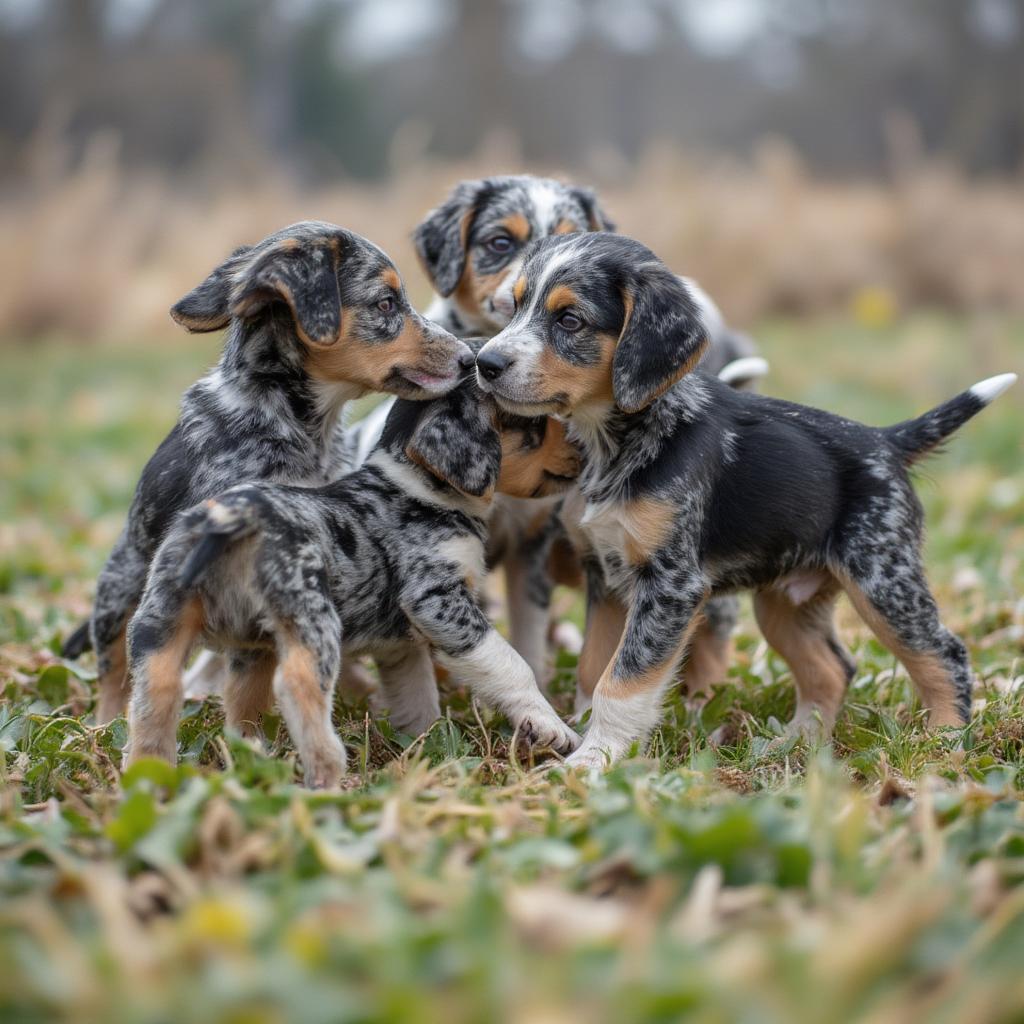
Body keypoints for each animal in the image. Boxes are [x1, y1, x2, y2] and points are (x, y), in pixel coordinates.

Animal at [66, 219, 473, 724]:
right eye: (385, 303)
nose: (469, 360)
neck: (303, 430)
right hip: (120, 589)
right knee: (114, 672)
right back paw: (105, 726)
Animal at [125, 376, 585, 782]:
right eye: (533, 424)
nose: (581, 445)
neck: (416, 487)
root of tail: (236, 521)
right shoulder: (438, 600)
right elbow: (509, 663)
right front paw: (551, 726)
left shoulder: (402, 645)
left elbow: (418, 700)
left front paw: (424, 750)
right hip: (313, 622)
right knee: (296, 687)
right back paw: (328, 771)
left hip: (171, 631)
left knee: (164, 696)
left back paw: (155, 774)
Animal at [475, 232, 1019, 770]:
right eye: (516, 305)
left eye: (569, 320)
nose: (485, 364)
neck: (616, 444)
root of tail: (886, 439)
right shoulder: (604, 576)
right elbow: (593, 668)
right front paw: (585, 739)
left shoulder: (671, 585)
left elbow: (622, 682)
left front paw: (594, 761)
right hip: (785, 604)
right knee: (831, 668)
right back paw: (796, 744)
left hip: (884, 582)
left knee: (945, 655)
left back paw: (943, 745)